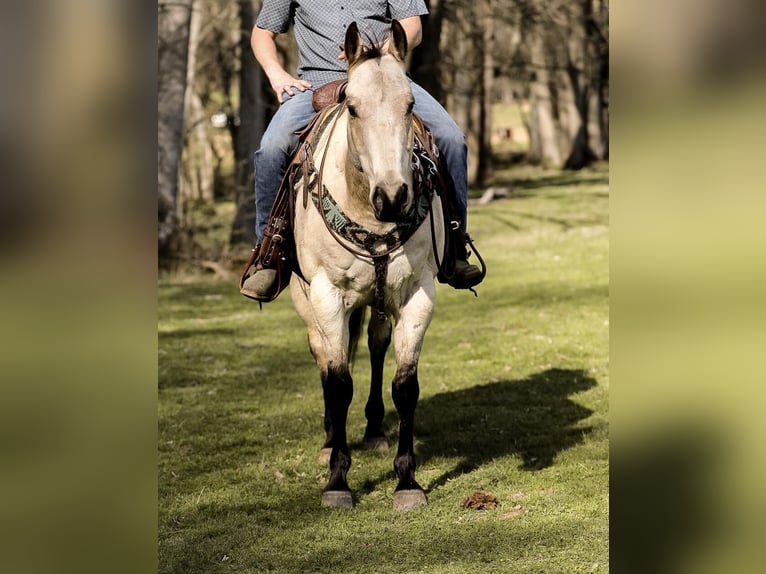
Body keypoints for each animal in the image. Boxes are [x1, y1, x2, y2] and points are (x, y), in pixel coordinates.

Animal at [290, 20, 448, 510]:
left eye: (410, 104)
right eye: (354, 108)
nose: (393, 196)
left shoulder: (417, 293)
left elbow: (405, 384)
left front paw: (407, 480)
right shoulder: (326, 295)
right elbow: (339, 381)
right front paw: (338, 481)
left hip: (379, 300)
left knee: (377, 347)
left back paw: (376, 429)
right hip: (306, 301)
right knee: (323, 358)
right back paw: (328, 443)